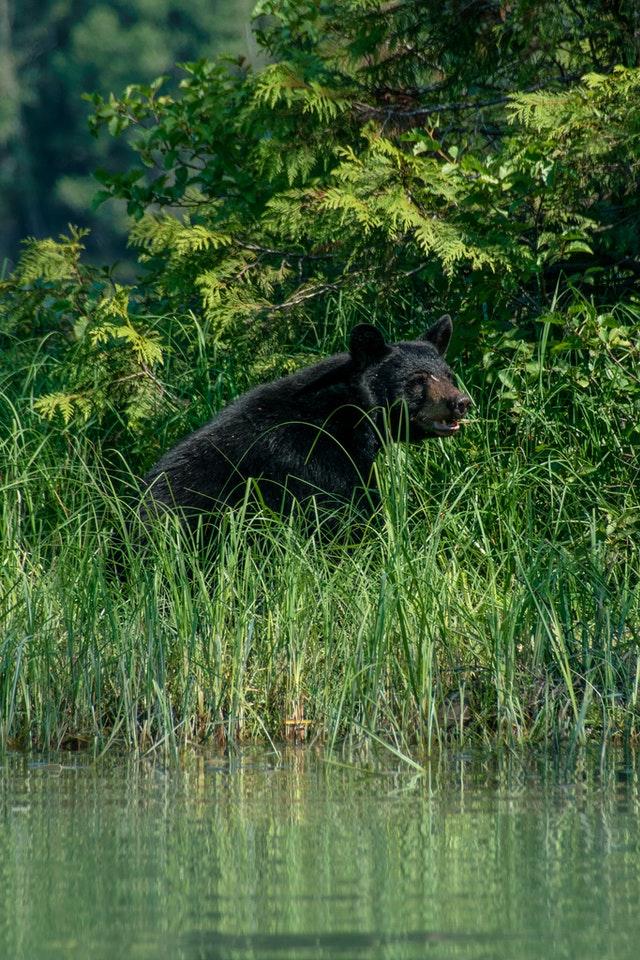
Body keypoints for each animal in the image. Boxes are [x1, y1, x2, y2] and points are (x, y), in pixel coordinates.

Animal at [139, 316, 470, 540]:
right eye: (418, 379)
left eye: (448, 375)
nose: (461, 402)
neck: (348, 413)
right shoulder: (315, 460)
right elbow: (347, 514)